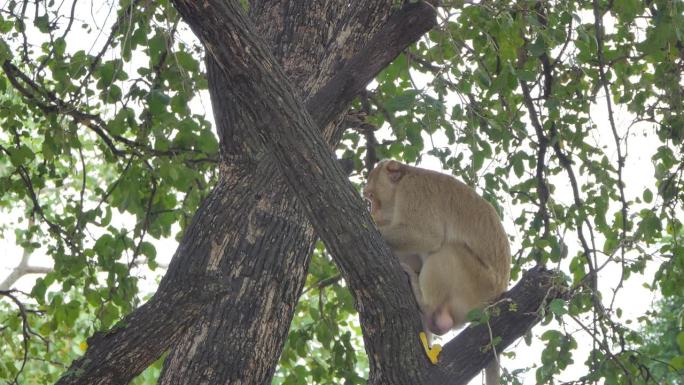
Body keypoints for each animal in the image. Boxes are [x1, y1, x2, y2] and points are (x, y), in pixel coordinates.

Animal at [364, 158, 508, 384]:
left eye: (371, 197)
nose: (372, 212)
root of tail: (496, 298)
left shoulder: (413, 191)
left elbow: (426, 235)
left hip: (478, 286)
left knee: (448, 250)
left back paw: (424, 301)